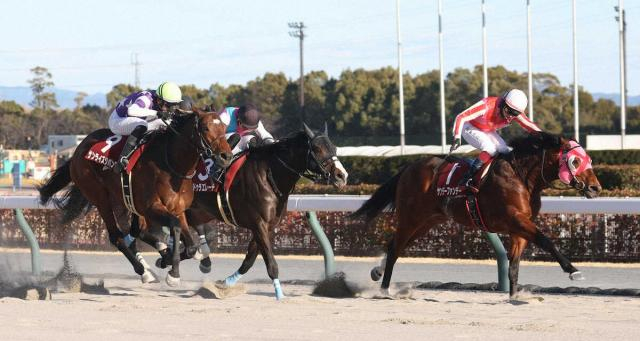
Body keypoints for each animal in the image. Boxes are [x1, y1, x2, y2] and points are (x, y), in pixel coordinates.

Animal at [39, 107, 232, 286]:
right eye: (206, 128)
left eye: (224, 127)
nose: (226, 156)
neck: (170, 164)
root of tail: (77, 152)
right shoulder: (152, 207)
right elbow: (175, 227)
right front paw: (173, 274)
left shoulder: (178, 209)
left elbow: (191, 247)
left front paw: (167, 259)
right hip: (101, 199)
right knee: (117, 236)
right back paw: (144, 271)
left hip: (128, 202)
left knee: (136, 231)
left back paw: (159, 255)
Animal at [184, 124, 350, 298]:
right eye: (317, 149)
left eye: (334, 148)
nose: (342, 176)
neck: (269, 175)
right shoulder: (258, 224)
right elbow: (270, 262)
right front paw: (279, 295)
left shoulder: (268, 225)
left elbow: (250, 258)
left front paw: (226, 283)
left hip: (198, 213)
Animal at [352, 131, 604, 296]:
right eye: (576, 161)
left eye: (589, 159)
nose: (595, 188)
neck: (521, 177)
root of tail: (408, 167)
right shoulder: (515, 219)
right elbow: (545, 240)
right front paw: (573, 271)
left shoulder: (518, 227)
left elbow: (514, 265)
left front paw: (514, 296)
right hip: (411, 217)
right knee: (395, 248)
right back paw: (384, 289)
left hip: (428, 221)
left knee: (395, 245)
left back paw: (377, 272)